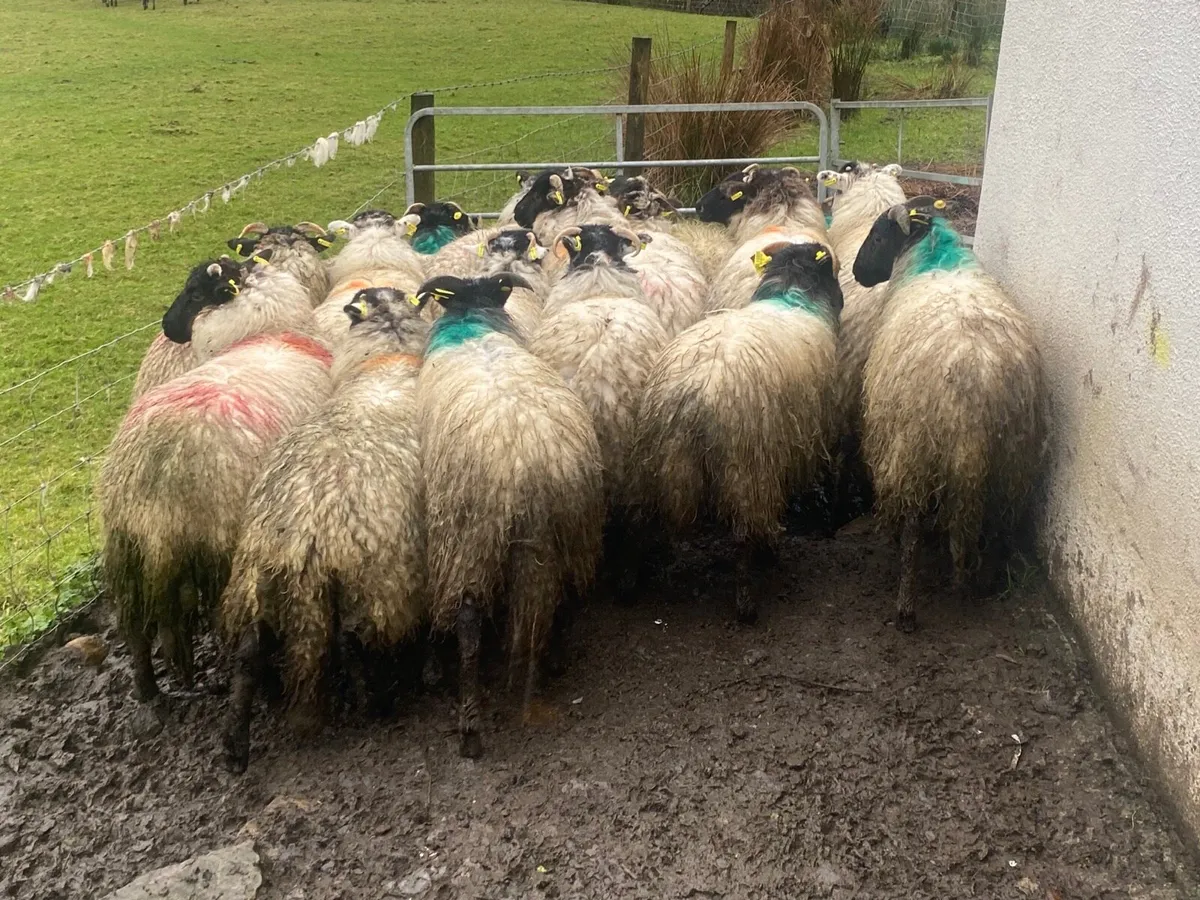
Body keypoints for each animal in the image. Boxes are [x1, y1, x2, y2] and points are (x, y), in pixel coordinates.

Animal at [99, 264, 334, 702]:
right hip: (224, 551)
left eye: (194, 294)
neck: (273, 330)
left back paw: (148, 692)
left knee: (134, 630)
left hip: (124, 548)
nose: (167, 327)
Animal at [220, 287, 430, 771]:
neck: (388, 358)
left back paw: (235, 747)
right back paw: (377, 704)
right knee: (356, 637)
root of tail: (304, 530)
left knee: (249, 653)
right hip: (374, 576)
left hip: (256, 575)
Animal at [415, 272, 604, 758]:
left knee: (467, 626)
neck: (472, 320)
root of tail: (529, 464)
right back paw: (554, 659)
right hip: (573, 525)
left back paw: (470, 728)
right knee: (565, 592)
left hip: (467, 536)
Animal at [634, 241, 843, 624]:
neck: (790, 293)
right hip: (747, 468)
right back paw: (750, 596)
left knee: (641, 519)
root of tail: (693, 396)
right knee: (745, 534)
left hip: (654, 459)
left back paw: (630, 584)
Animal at [854, 198, 1046, 632]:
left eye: (878, 236)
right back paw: (987, 585)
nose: (857, 272)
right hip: (1011, 460)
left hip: (911, 447)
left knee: (911, 527)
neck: (930, 255)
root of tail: (972, 399)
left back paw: (905, 608)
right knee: (1000, 524)